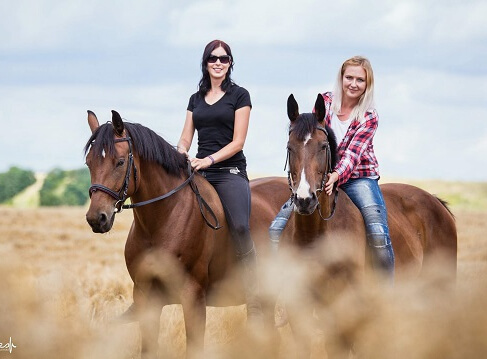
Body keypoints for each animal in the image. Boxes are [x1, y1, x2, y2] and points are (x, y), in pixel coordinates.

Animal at [84, 111, 292, 358]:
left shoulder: (193, 296)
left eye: (120, 162)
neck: (162, 220)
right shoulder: (146, 297)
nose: (97, 218)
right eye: (89, 163)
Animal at [278, 94, 458, 358]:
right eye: (290, 148)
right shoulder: (299, 311)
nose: (304, 199)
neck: (316, 236)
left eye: (323, 147)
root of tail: (437, 203)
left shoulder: (346, 312)